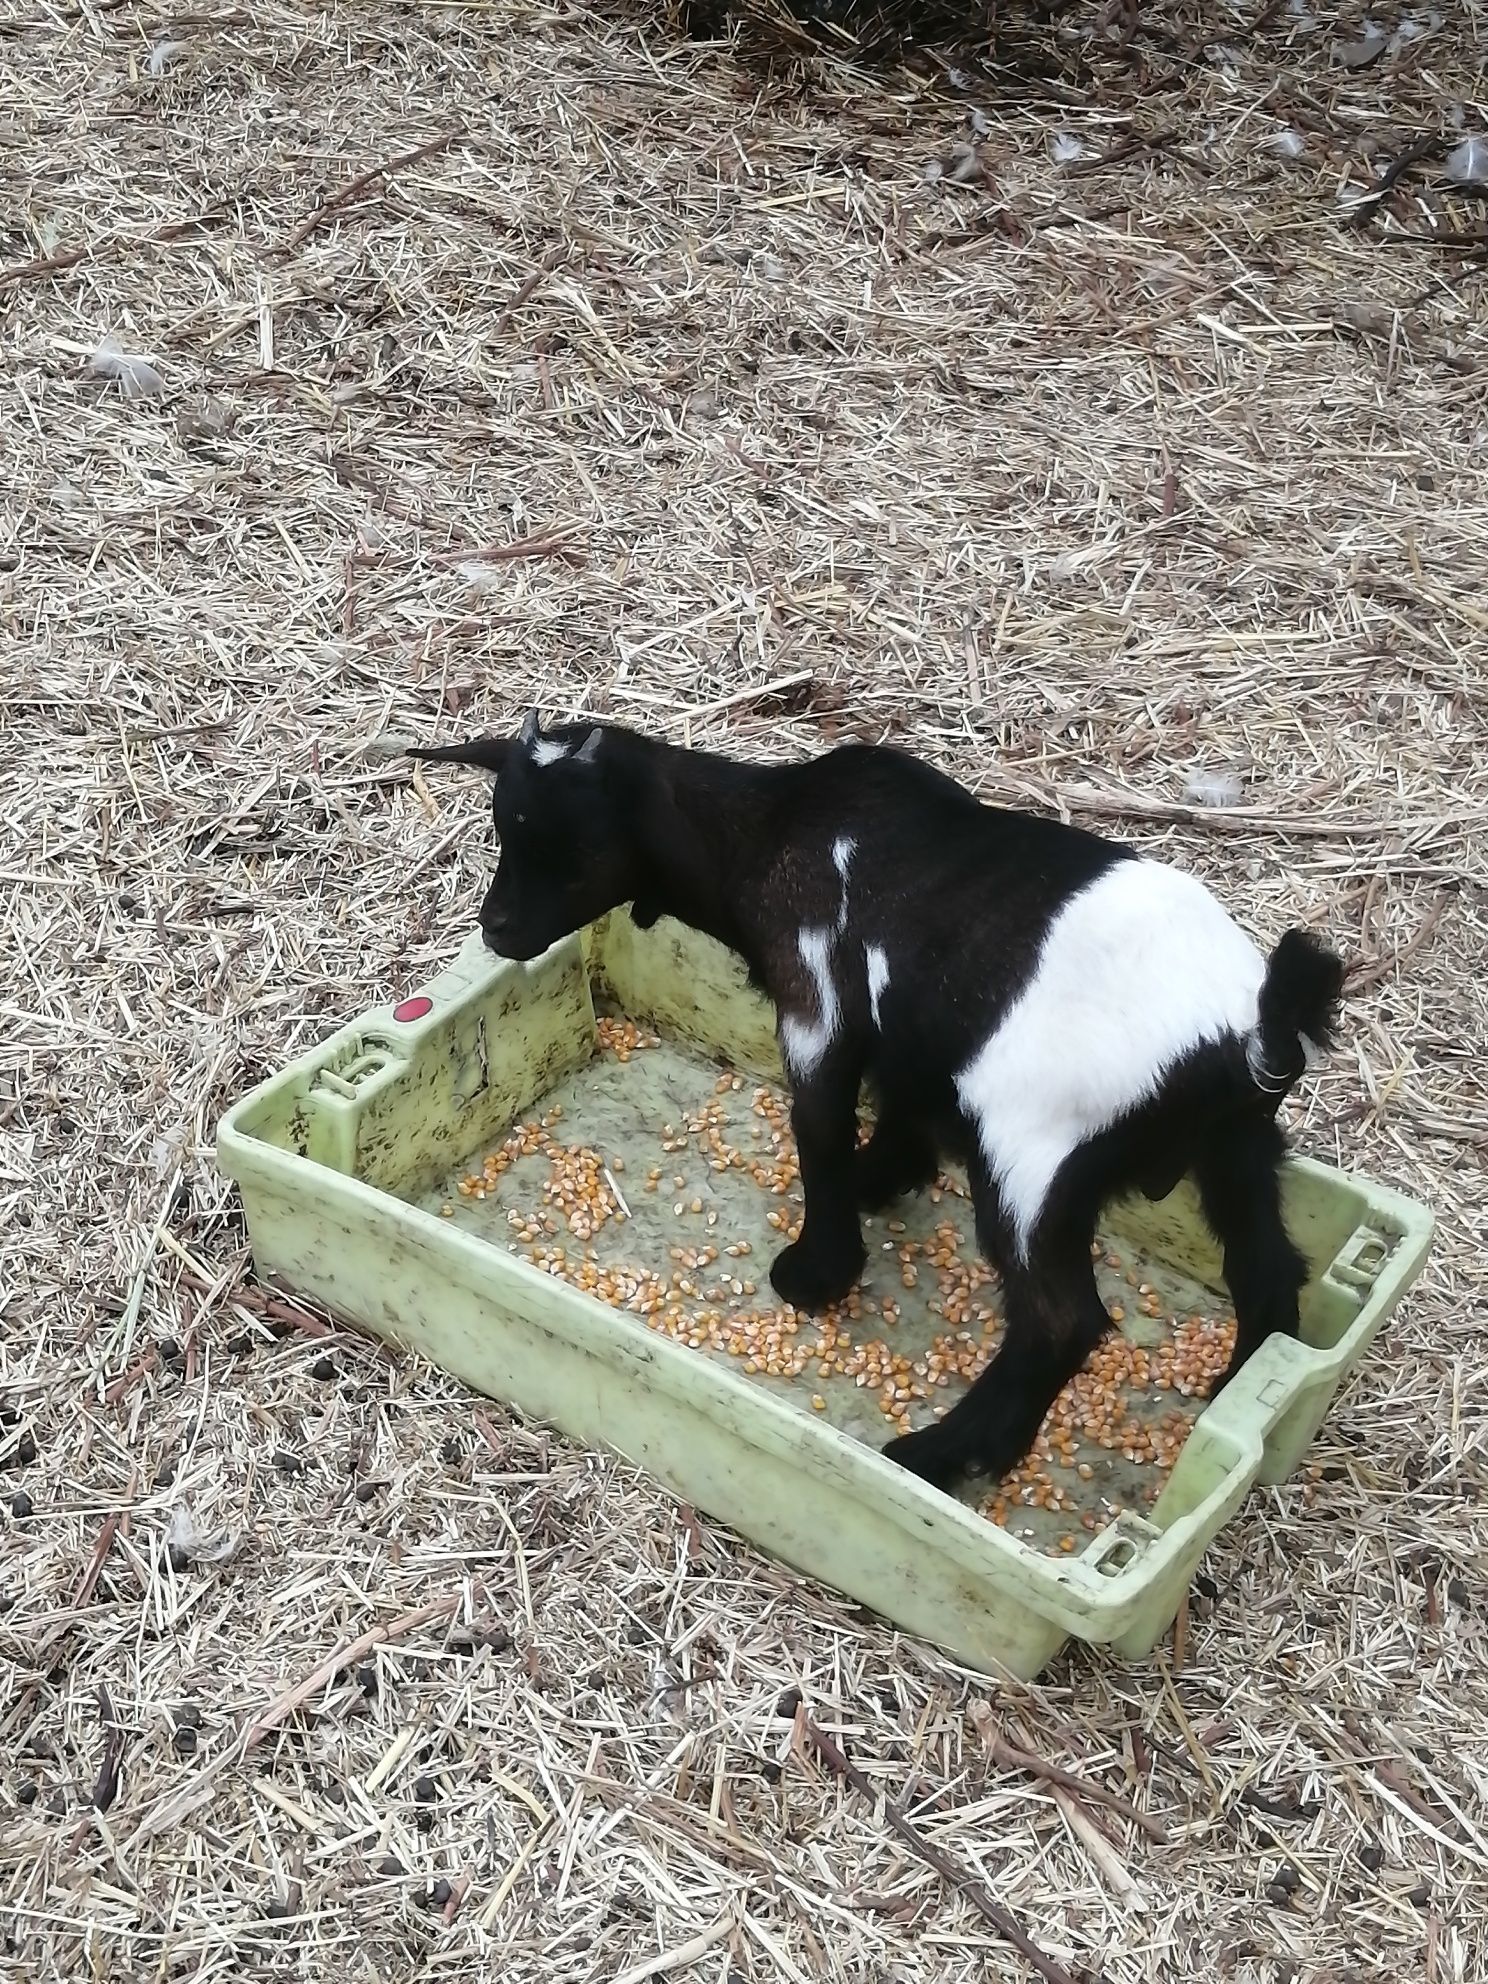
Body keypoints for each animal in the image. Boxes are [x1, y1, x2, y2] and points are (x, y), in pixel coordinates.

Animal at [414, 714, 1349, 1491]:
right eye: (504, 831)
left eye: (575, 844)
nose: (497, 930)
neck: (769, 829)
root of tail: (1256, 1020)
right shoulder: (905, 1032)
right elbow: (900, 1107)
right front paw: (883, 1179)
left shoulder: (816, 1004)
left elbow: (819, 1128)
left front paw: (817, 1272)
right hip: (1240, 1145)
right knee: (1267, 1271)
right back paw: (1227, 1397)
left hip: (1034, 1153)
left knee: (1060, 1320)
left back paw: (946, 1455)